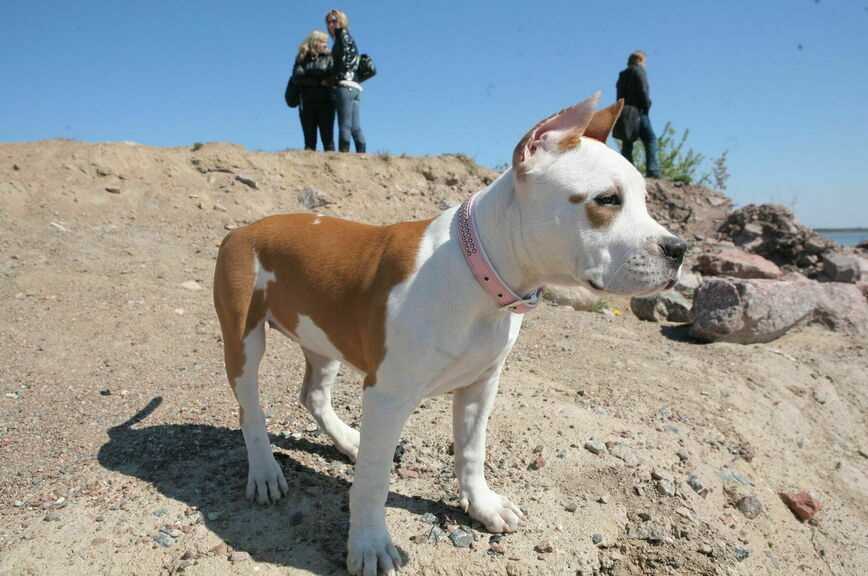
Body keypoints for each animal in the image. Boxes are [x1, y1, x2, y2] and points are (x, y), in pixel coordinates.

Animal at [212, 92, 684, 572]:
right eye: (607, 199)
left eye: (644, 200)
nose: (679, 249)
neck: (481, 274)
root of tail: (244, 229)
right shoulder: (388, 395)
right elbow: (373, 482)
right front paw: (369, 544)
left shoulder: (482, 384)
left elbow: (472, 451)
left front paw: (483, 506)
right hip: (243, 338)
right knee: (249, 409)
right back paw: (265, 471)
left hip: (322, 335)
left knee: (314, 394)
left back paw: (348, 441)